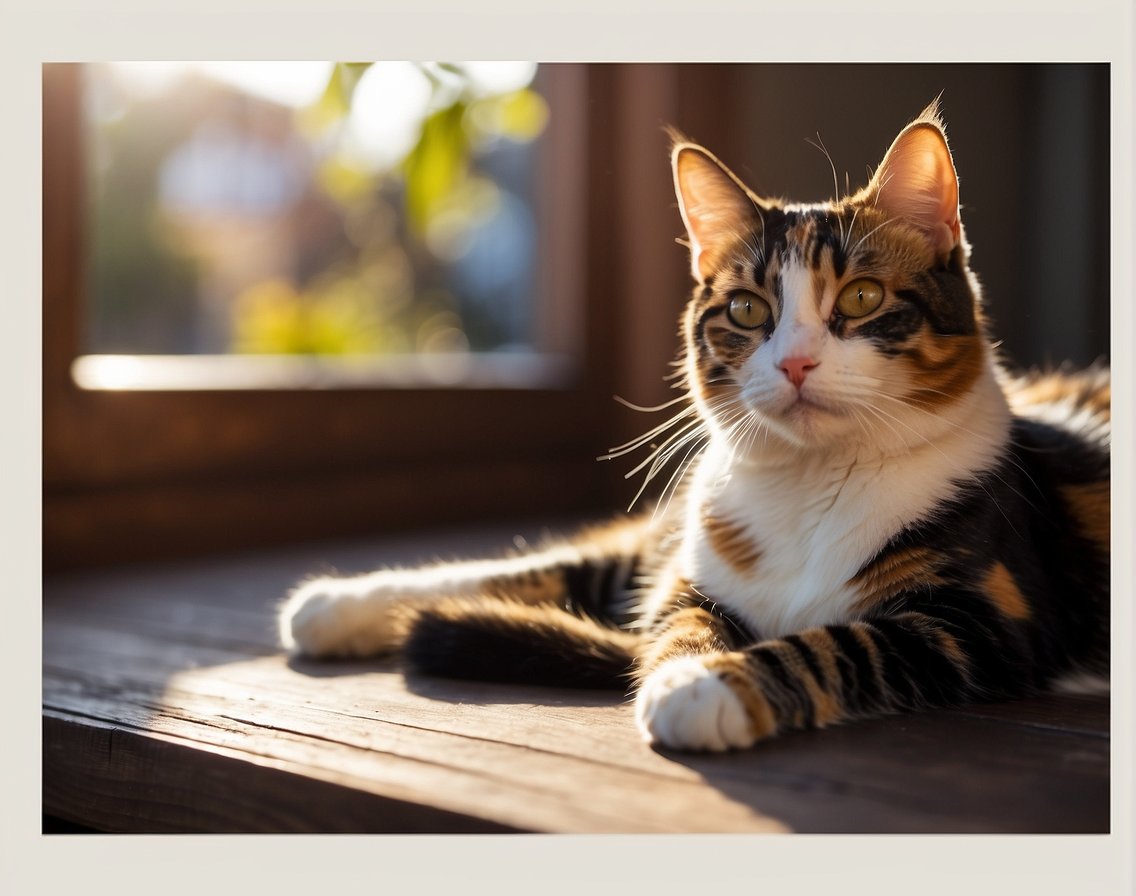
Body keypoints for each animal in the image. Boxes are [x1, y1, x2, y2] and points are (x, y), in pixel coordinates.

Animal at [277, 101, 1108, 749]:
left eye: (864, 297)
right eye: (746, 309)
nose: (795, 363)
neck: (811, 486)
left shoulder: (983, 622)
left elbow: (843, 641)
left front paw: (710, 687)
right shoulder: (689, 575)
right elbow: (669, 618)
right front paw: (692, 669)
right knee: (560, 564)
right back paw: (333, 606)